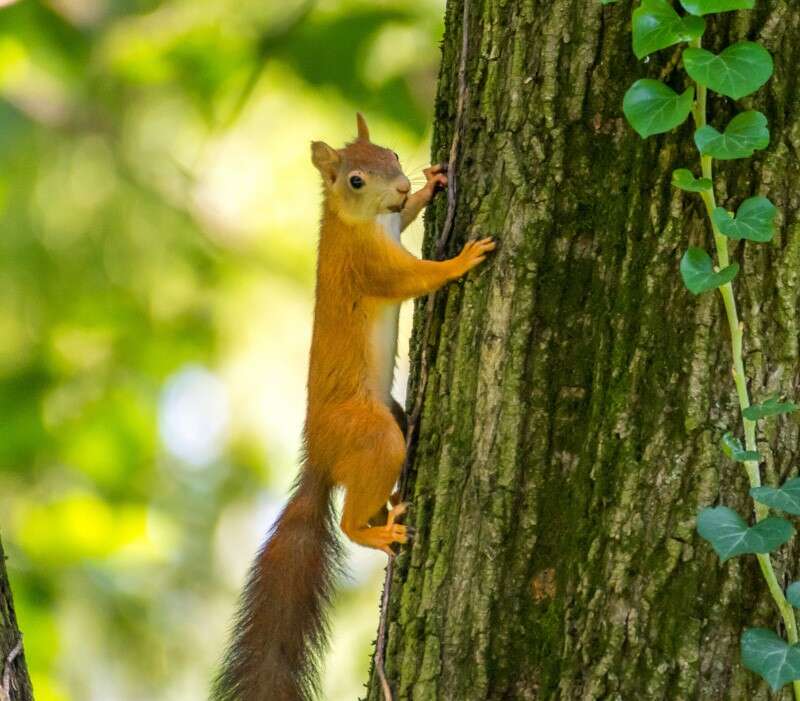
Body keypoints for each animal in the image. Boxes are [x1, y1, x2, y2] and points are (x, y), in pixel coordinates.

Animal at [212, 113, 494, 700]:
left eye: (392, 153)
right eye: (355, 180)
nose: (403, 184)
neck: (358, 222)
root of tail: (320, 455)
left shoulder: (392, 225)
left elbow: (407, 218)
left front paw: (431, 185)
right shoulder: (372, 267)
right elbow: (417, 277)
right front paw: (462, 258)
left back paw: (389, 508)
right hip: (369, 433)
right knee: (348, 521)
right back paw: (375, 530)